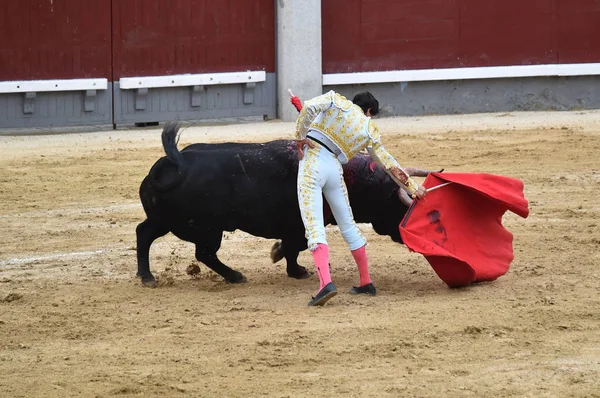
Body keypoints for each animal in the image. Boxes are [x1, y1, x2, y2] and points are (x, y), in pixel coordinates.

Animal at [136, 123, 436, 288]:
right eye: (397, 205)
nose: (405, 235)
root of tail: (175, 164)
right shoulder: (299, 225)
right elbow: (295, 247)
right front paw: (289, 264)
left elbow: (295, 248)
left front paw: (289, 264)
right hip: (207, 229)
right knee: (203, 253)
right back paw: (235, 276)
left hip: (168, 220)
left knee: (144, 233)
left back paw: (147, 276)